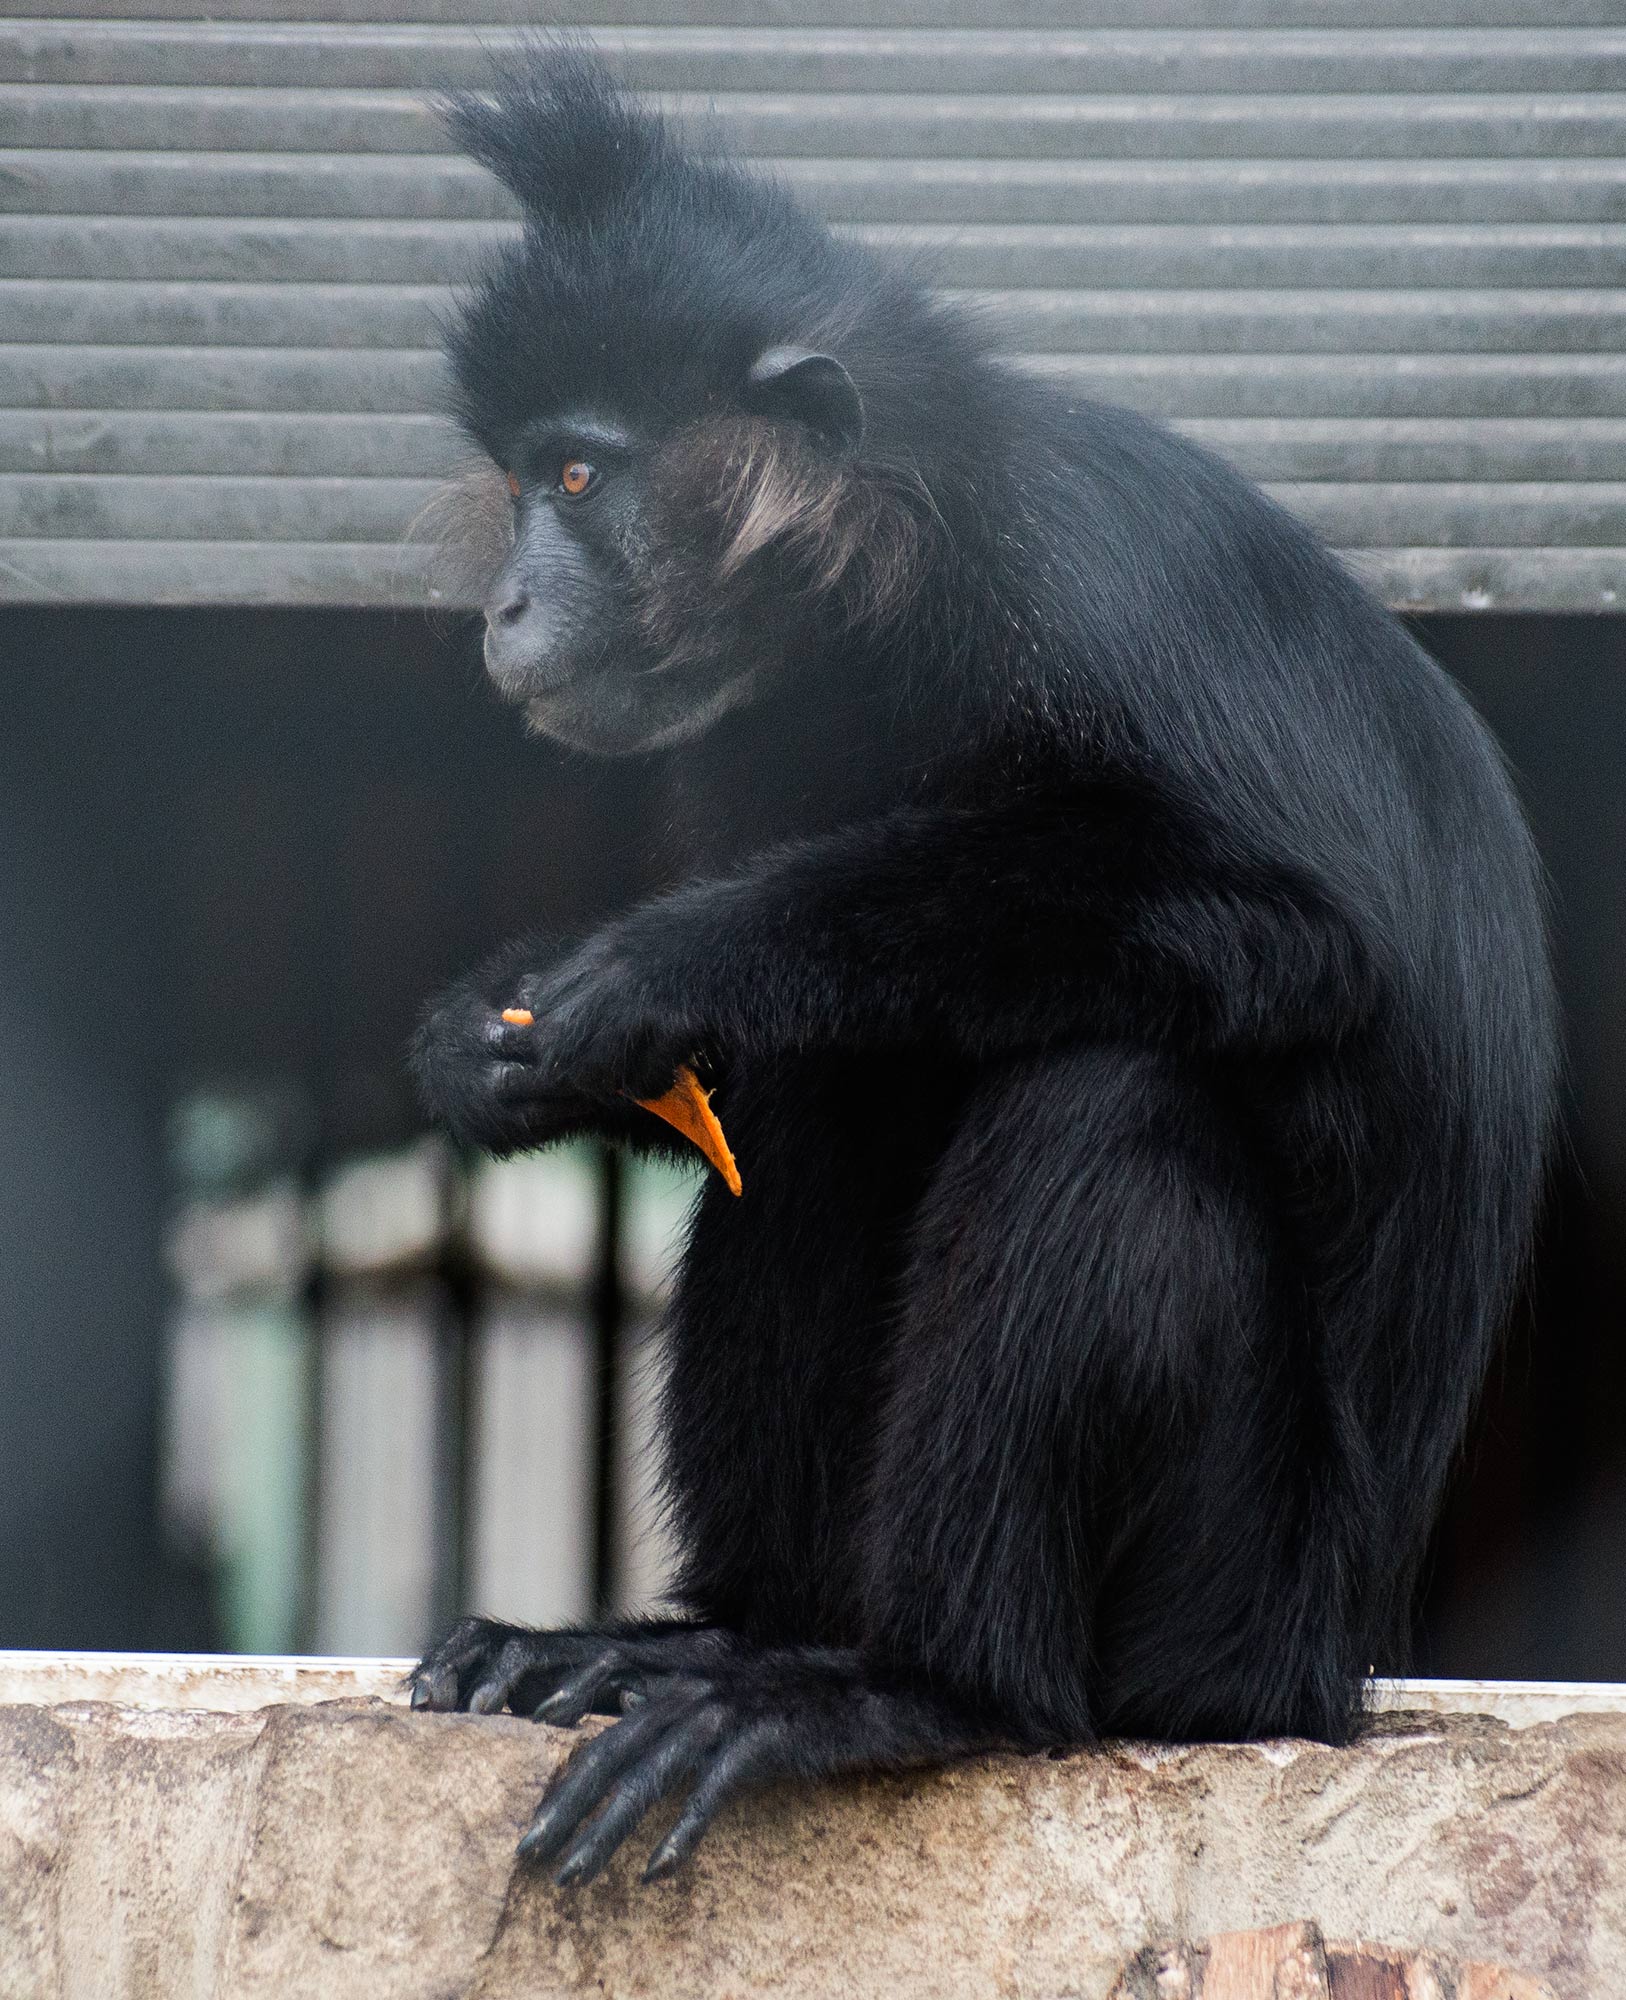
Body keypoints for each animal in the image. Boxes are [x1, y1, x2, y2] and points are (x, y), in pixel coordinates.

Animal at [406, 50, 1544, 1888]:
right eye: (520, 483)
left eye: (575, 483)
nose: (504, 607)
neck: (895, 571)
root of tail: (1322, 1674)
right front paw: (488, 1042)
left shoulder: (1081, 584)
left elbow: (1304, 938)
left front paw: (666, 960)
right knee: (822, 1102)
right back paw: (718, 1634)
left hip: (1221, 1605)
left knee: (1107, 1102)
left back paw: (917, 1692)